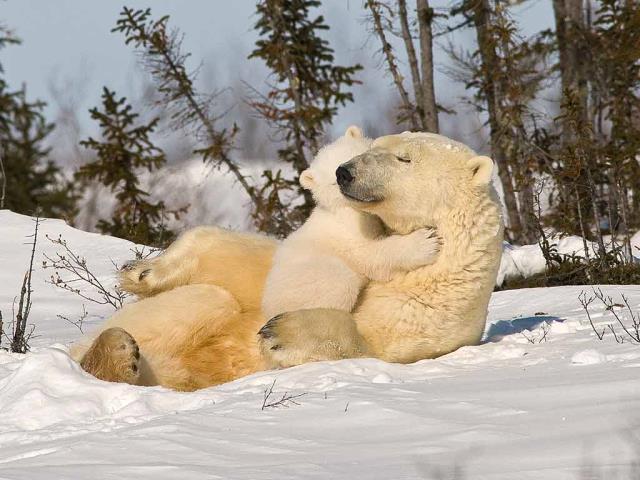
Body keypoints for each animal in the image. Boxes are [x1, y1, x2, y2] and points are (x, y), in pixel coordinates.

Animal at [261, 125, 440, 322]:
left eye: (358, 156)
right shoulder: (347, 229)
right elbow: (368, 254)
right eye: (334, 181)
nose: (344, 173)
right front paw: (425, 242)